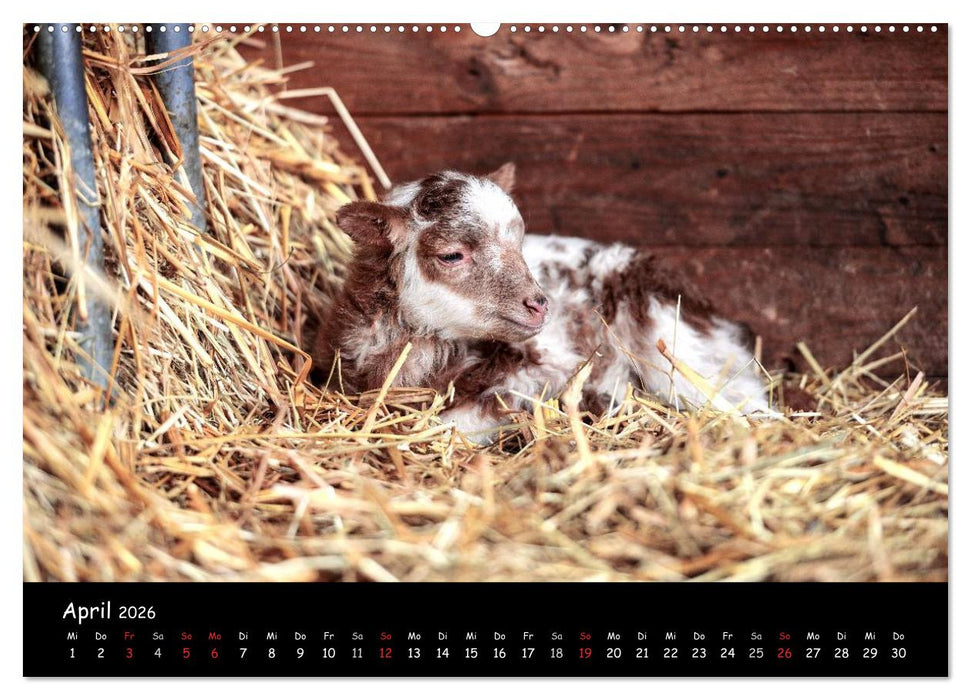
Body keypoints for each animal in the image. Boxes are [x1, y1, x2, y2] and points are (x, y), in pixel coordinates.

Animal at [310, 163, 772, 443]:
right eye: (452, 255)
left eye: (518, 242)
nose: (538, 305)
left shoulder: (544, 367)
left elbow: (456, 423)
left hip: (676, 343)